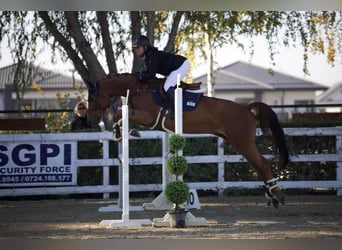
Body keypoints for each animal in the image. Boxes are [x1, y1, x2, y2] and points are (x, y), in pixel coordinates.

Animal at [85, 73, 288, 209]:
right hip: (239, 143)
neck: (139, 89)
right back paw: (270, 195)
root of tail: (247, 108)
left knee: (262, 163)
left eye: (92, 97)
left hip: (243, 143)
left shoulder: (147, 117)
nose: (89, 118)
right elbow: (120, 113)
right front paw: (123, 131)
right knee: (258, 165)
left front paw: (123, 132)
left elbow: (119, 113)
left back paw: (276, 194)